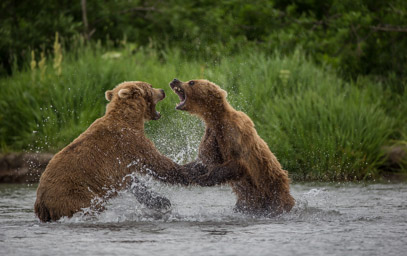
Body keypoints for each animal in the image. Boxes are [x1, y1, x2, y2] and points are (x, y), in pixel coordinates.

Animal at [34, 81, 193, 222]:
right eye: (151, 86)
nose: (162, 90)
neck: (130, 119)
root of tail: (41, 203)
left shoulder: (119, 166)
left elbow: (132, 181)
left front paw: (161, 201)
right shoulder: (131, 143)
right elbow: (157, 163)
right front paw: (188, 170)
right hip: (74, 195)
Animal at [171, 79, 294, 217]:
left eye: (192, 82)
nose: (175, 80)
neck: (216, 119)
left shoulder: (233, 133)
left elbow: (238, 163)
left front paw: (201, 178)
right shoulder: (212, 136)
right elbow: (205, 161)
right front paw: (181, 169)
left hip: (273, 190)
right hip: (247, 201)